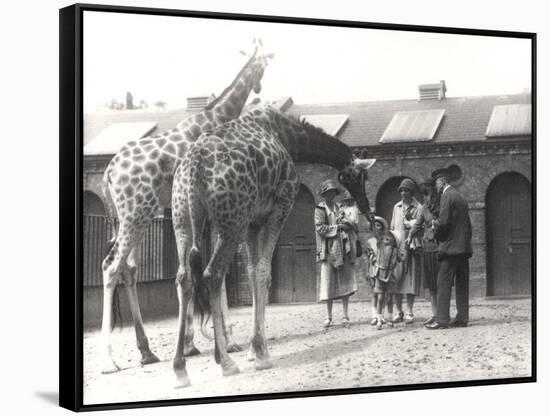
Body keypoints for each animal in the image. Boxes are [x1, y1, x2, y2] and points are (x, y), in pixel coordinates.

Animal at [99, 40, 276, 376]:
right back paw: (109, 361)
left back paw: (146, 352)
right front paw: (225, 341)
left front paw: (196, 342)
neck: (216, 116)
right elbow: (214, 270)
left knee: (128, 268)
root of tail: (108, 174)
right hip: (136, 213)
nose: (261, 87)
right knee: (111, 266)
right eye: (266, 62)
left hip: (131, 216)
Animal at [172, 105, 378, 386]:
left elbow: (251, 271)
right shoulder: (279, 206)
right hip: (230, 222)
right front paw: (261, 354)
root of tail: (194, 168)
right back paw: (225, 362)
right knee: (212, 274)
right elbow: (263, 272)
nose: (365, 206)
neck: (289, 138)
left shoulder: (253, 220)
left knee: (183, 277)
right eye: (362, 175)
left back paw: (180, 368)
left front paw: (253, 350)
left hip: (183, 220)